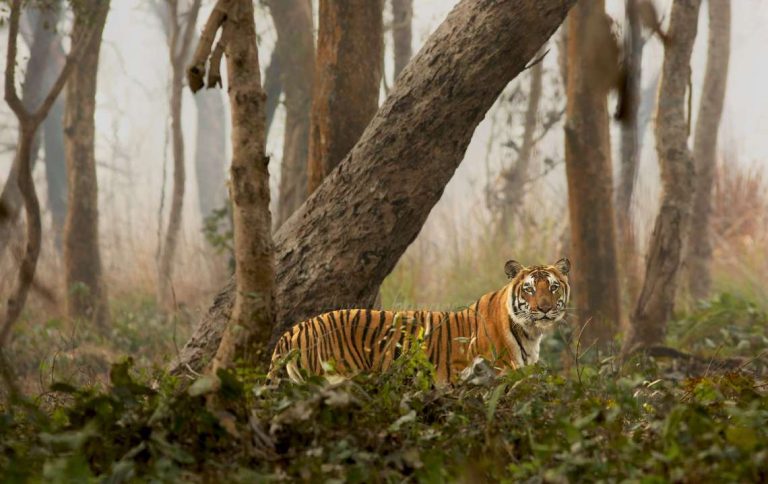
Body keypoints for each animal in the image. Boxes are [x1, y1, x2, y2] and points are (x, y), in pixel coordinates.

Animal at [270, 260, 568, 384]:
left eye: (553, 288)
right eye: (529, 289)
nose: (543, 309)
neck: (530, 332)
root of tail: (293, 330)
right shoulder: (498, 375)